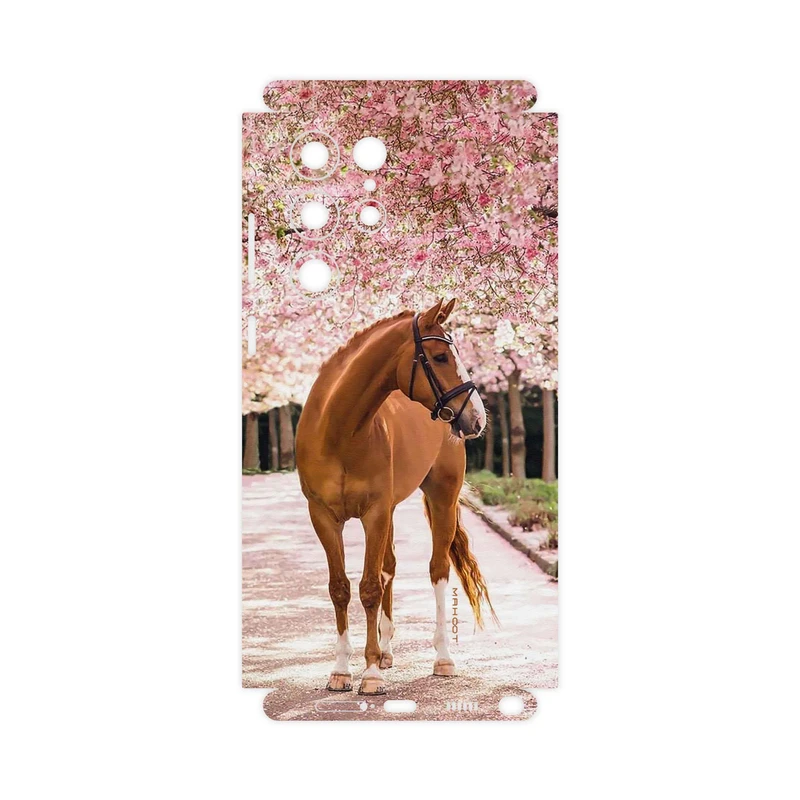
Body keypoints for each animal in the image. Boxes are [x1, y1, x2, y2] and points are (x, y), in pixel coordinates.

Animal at [295, 298, 495, 695]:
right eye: (440, 356)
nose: (477, 418)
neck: (339, 431)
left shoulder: (374, 513)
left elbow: (370, 588)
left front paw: (370, 674)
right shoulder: (324, 516)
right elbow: (340, 588)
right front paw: (341, 670)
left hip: (441, 497)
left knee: (437, 570)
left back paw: (442, 658)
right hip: (389, 511)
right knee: (389, 567)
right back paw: (386, 651)